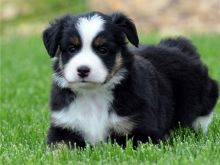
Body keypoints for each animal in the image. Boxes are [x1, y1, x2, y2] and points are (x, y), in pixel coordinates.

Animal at [42, 11, 219, 148]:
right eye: (72, 48)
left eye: (103, 50)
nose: (83, 70)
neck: (93, 95)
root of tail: (177, 45)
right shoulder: (63, 126)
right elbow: (59, 149)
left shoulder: (139, 132)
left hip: (198, 95)